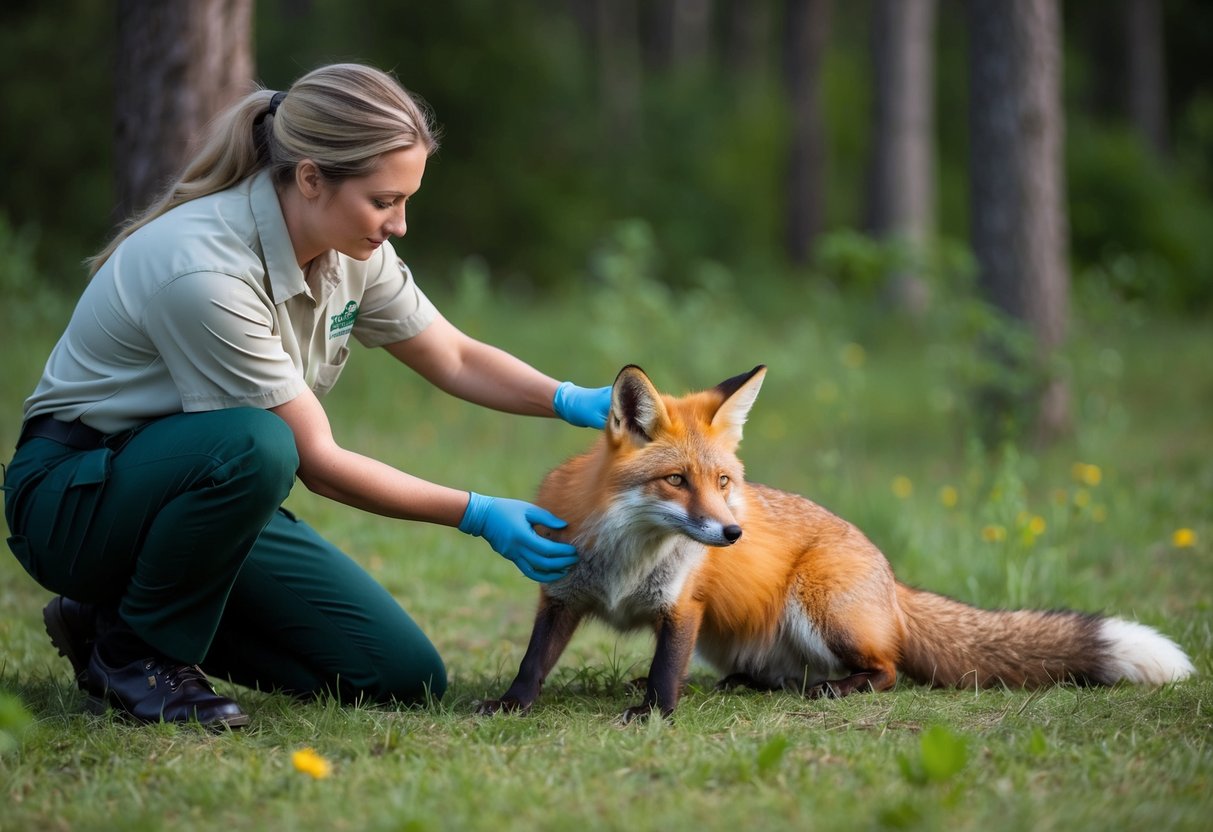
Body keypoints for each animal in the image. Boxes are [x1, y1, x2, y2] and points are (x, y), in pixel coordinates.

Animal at [477, 365, 1195, 722]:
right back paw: (740, 683)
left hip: (819, 608)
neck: (630, 557)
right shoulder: (562, 591)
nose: (732, 533)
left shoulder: (682, 607)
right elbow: (535, 661)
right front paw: (510, 706)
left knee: (887, 671)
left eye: (723, 482)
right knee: (777, 675)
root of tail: (890, 577)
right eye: (676, 480)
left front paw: (653, 714)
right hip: (736, 637)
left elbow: (663, 671)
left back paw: (837, 689)